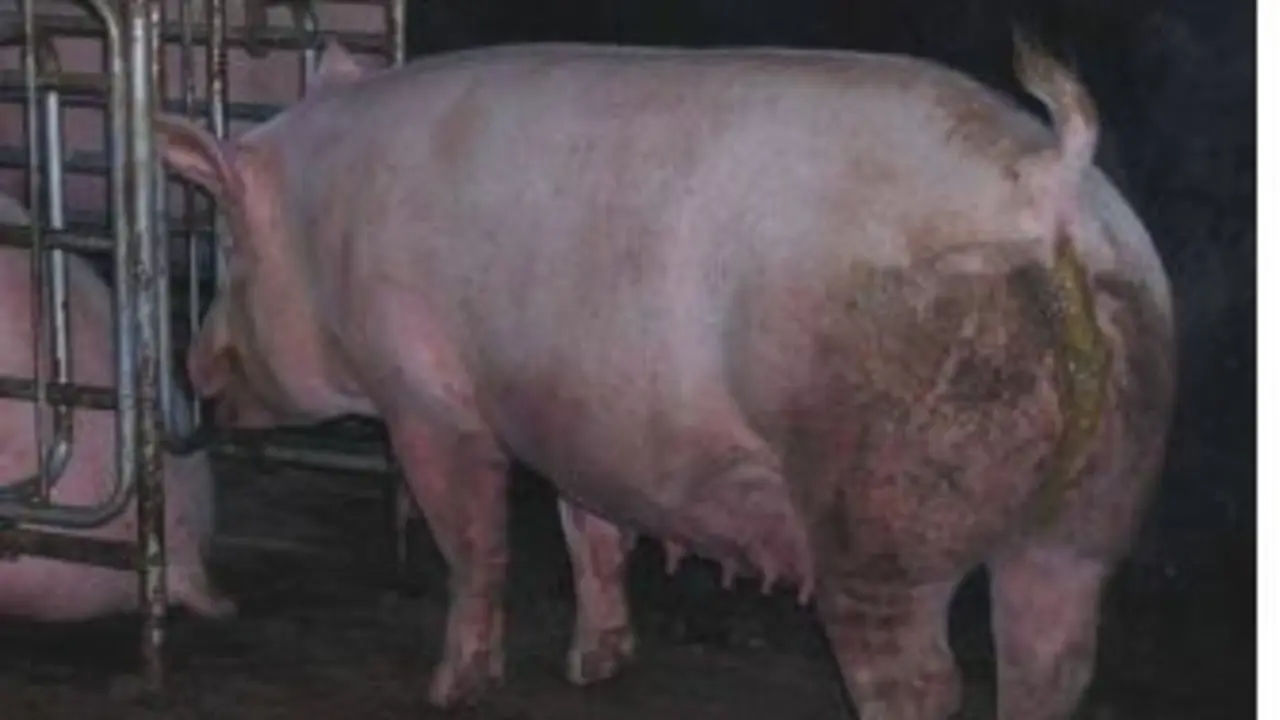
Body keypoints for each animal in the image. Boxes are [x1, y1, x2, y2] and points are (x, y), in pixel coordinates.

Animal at [155, 32, 1175, 720]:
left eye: (226, 245)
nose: (190, 365)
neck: (326, 226)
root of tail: (1046, 178)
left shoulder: (427, 397)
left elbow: (475, 544)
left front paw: (451, 688)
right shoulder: (585, 418)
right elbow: (592, 532)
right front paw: (595, 667)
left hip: (884, 500)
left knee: (923, 680)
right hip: (1098, 497)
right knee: (1051, 655)